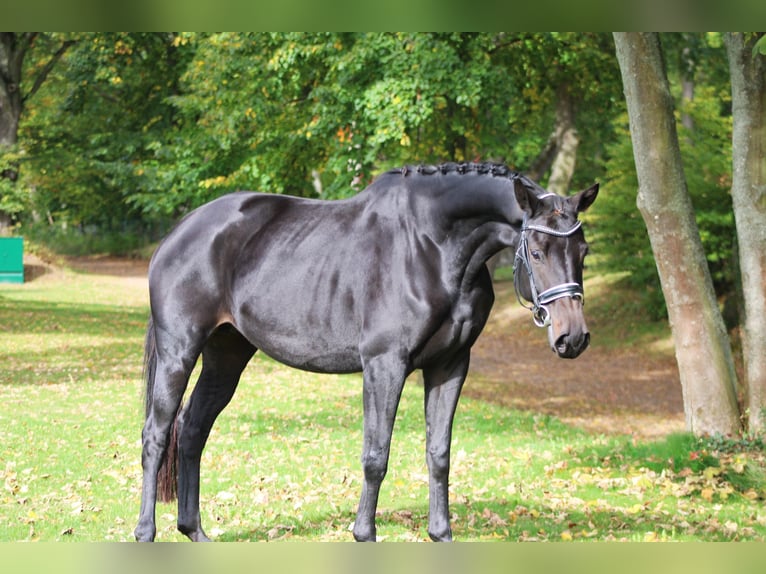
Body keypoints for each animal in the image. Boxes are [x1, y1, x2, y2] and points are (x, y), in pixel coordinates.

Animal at [134, 162, 600, 544]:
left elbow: (439, 453)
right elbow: (376, 455)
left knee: (192, 429)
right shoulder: (384, 365)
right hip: (180, 350)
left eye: (583, 251)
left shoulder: (450, 365)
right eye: (536, 252)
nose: (573, 337)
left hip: (226, 355)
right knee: (156, 434)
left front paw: (440, 533)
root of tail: (179, 232)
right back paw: (145, 532)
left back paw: (194, 531)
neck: (431, 245)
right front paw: (364, 533)